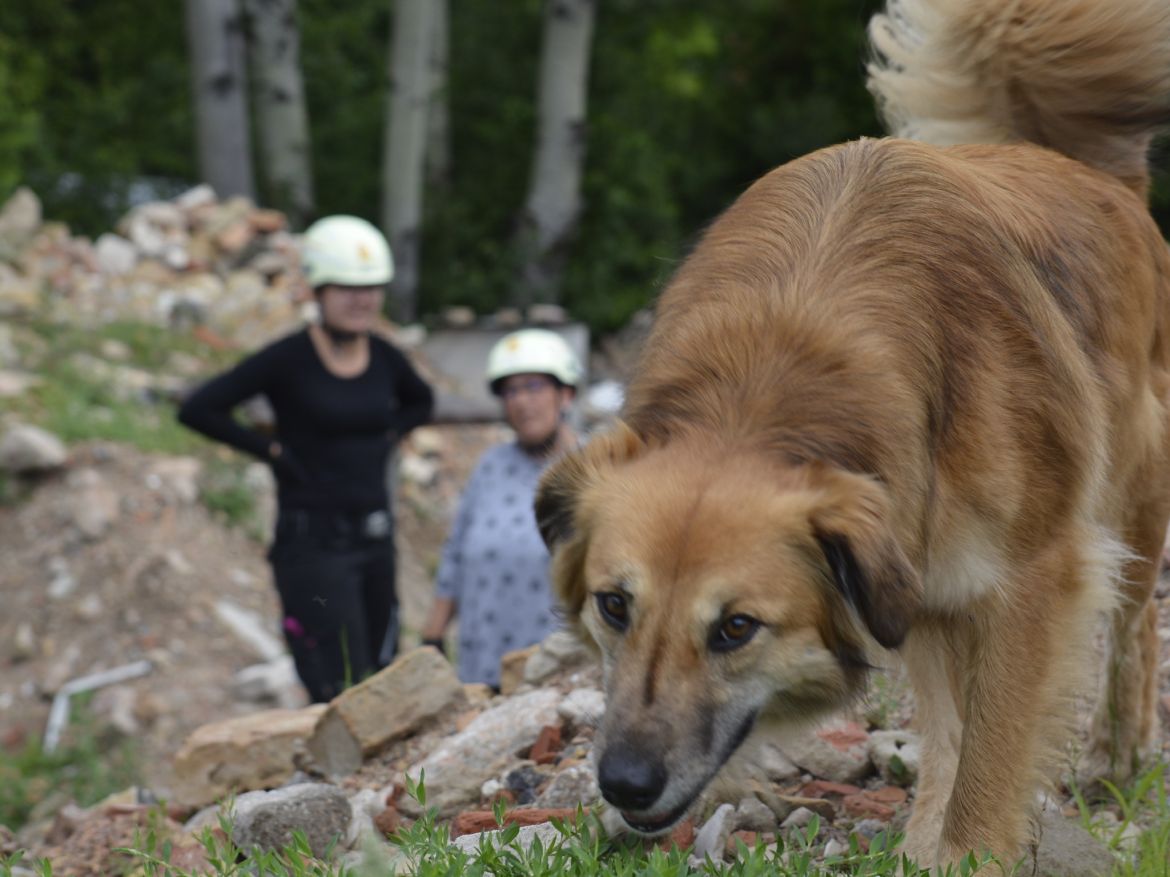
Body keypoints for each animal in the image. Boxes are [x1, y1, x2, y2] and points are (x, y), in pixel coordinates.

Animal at [535, 0, 1170, 869]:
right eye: (614, 604)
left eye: (736, 627)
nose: (625, 784)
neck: (775, 373)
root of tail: (1093, 172)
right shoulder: (911, 564)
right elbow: (958, 730)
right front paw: (937, 842)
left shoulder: (1033, 580)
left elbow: (994, 754)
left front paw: (971, 851)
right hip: (919, 571)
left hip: (1126, 494)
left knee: (1134, 627)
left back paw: (1119, 751)